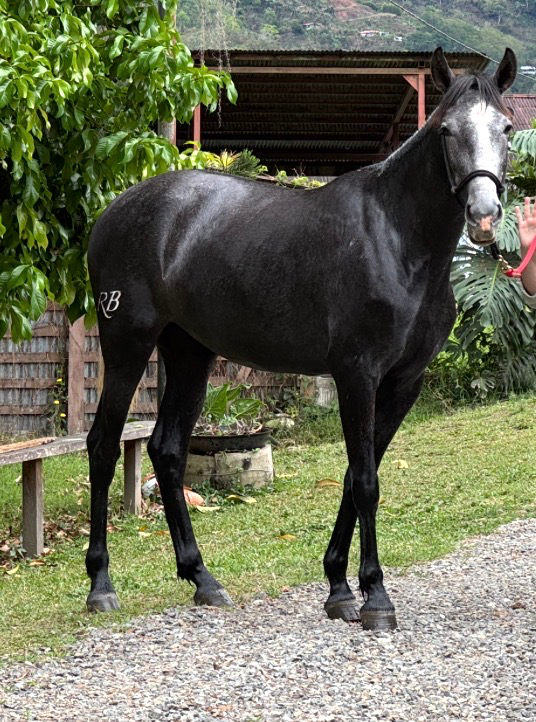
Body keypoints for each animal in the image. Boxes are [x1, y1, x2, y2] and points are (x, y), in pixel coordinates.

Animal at [85, 47, 516, 630]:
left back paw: (202, 579)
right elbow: (366, 482)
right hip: (127, 347)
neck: (396, 239)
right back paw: (101, 586)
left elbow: (357, 476)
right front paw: (376, 598)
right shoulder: (357, 375)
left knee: (166, 450)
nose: (484, 215)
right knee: (103, 446)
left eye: (506, 127)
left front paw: (339, 587)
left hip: (190, 354)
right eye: (446, 130)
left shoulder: (403, 384)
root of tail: (114, 211)